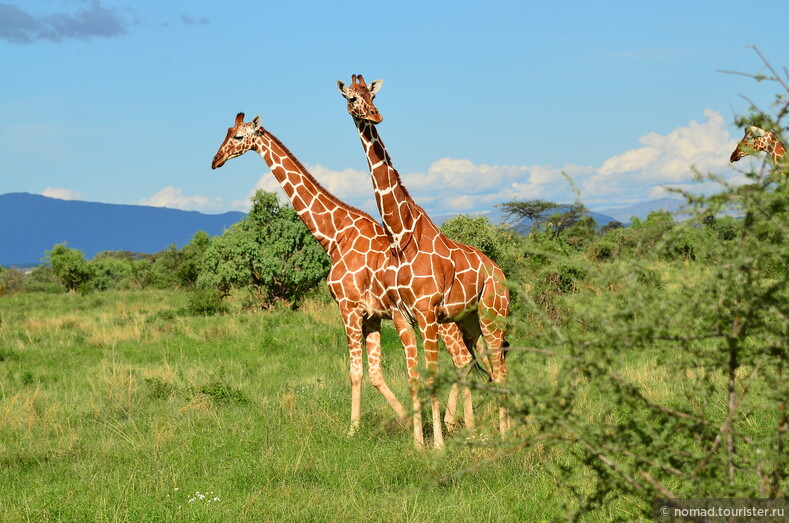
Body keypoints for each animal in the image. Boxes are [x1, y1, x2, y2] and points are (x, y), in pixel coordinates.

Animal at [212, 111, 478, 446]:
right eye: (225, 132)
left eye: (237, 137)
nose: (216, 160)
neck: (335, 235)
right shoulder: (373, 315)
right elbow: (375, 373)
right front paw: (405, 419)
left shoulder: (348, 307)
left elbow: (355, 372)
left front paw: (352, 429)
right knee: (463, 359)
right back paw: (455, 421)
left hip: (439, 319)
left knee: (462, 358)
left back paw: (454, 421)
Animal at [338, 74, 510, 450]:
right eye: (352, 98)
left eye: (372, 95)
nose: (374, 115)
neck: (402, 235)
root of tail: (500, 272)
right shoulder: (405, 317)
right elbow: (415, 380)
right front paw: (419, 444)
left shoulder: (428, 314)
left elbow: (432, 378)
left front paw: (440, 446)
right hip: (470, 320)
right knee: (490, 366)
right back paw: (499, 429)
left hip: (494, 313)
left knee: (500, 366)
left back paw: (509, 433)